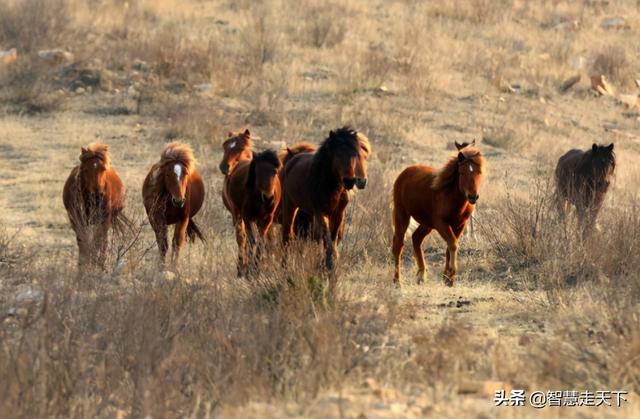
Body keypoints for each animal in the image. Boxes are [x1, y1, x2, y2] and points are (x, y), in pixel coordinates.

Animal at [221, 149, 282, 278]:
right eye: (257, 172)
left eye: (274, 172)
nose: (268, 198)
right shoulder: (248, 217)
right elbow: (251, 240)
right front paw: (250, 271)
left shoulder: (267, 219)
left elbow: (261, 241)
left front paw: (256, 269)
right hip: (237, 215)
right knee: (241, 238)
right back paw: (241, 268)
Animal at [280, 128, 370, 270]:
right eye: (337, 155)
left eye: (355, 154)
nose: (349, 181)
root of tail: (292, 160)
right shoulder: (321, 213)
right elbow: (327, 239)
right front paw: (330, 264)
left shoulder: (338, 214)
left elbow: (331, 239)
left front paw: (329, 262)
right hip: (290, 205)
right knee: (287, 236)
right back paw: (284, 266)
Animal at [390, 143, 484, 288]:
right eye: (462, 173)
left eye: (478, 172)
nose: (473, 197)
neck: (450, 196)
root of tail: (404, 173)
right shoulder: (441, 224)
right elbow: (453, 244)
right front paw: (451, 272)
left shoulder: (459, 225)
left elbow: (450, 247)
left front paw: (448, 279)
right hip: (402, 216)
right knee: (398, 246)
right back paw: (397, 281)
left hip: (426, 223)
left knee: (416, 238)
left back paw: (421, 276)